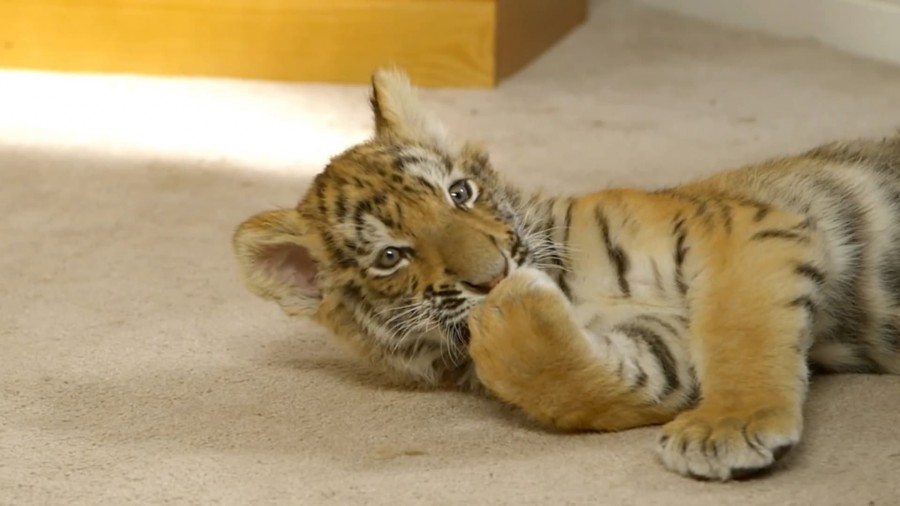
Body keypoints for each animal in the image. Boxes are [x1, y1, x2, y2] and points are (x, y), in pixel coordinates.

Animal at [232, 68, 900, 481]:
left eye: (459, 193)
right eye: (392, 257)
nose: (494, 276)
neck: (573, 287)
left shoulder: (739, 229)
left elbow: (740, 328)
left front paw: (725, 427)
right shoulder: (664, 350)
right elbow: (574, 384)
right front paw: (505, 323)